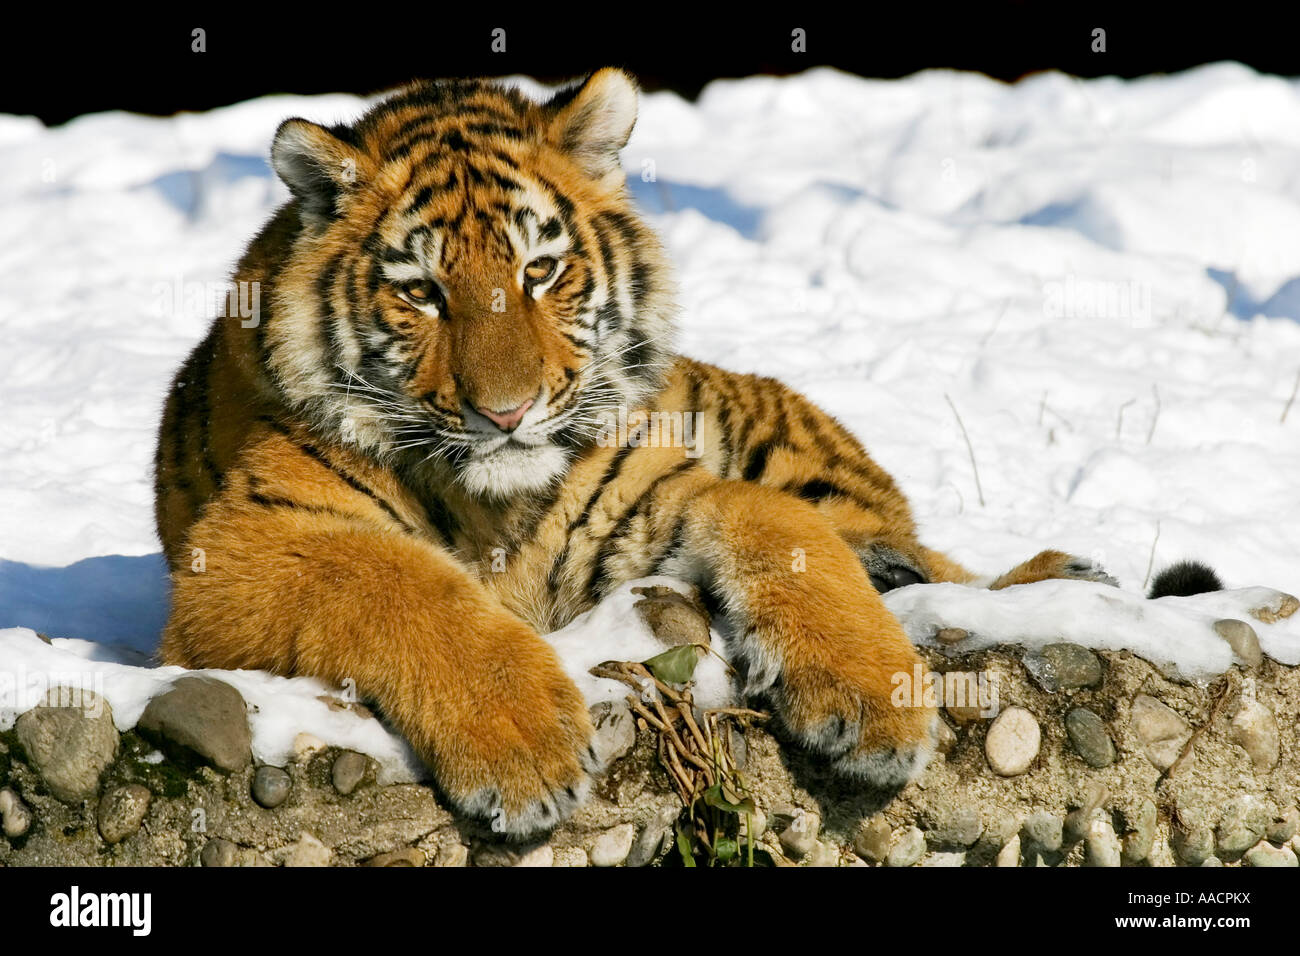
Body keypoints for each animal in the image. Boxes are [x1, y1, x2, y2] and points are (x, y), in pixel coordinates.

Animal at [157, 69, 1118, 837]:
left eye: (539, 271)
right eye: (422, 293)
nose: (505, 412)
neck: (499, 505)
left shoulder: (656, 493)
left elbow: (779, 526)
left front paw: (877, 700)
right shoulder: (241, 551)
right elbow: (398, 581)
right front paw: (523, 745)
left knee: (918, 551)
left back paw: (1058, 575)